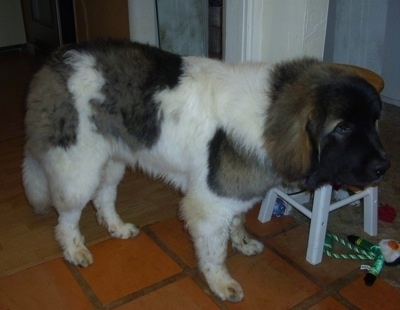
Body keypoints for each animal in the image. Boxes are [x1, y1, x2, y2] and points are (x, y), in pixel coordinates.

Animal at [23, 39, 390, 302]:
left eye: (375, 121)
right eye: (342, 128)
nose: (384, 167)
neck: (270, 114)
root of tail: (56, 59)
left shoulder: (235, 191)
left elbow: (238, 221)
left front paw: (243, 242)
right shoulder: (210, 204)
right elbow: (215, 251)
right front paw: (221, 283)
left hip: (112, 161)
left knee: (104, 197)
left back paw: (117, 227)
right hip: (79, 168)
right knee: (67, 218)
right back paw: (75, 250)